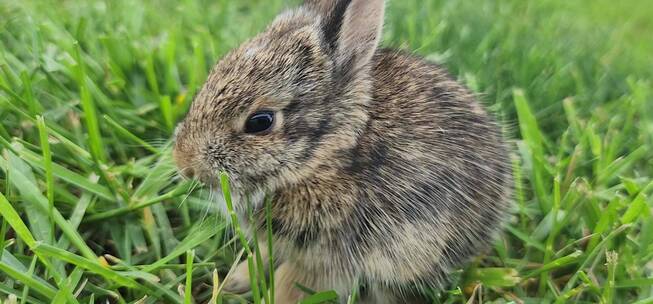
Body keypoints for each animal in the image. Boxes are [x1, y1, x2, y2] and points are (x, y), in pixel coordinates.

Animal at [173, 0, 510, 302]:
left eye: (260, 122)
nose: (184, 164)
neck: (328, 157)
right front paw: (234, 282)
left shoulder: (331, 256)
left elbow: (292, 285)